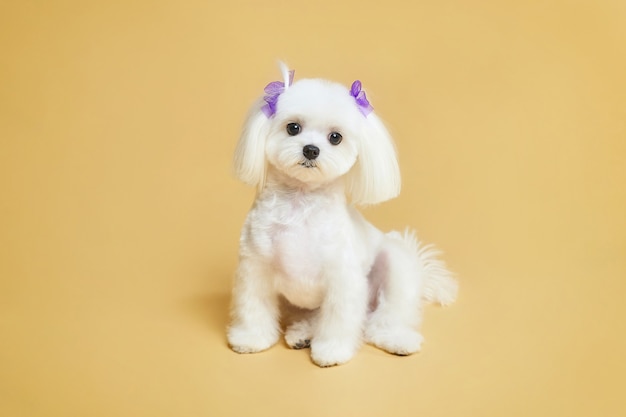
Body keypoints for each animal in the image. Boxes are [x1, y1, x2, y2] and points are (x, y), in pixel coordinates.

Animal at [224, 63, 454, 366]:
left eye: (336, 137)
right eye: (293, 127)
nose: (311, 149)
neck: (300, 204)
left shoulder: (342, 279)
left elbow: (338, 319)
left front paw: (331, 351)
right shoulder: (255, 268)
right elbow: (253, 307)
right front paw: (252, 338)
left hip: (395, 265)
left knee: (385, 317)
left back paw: (396, 338)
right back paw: (302, 334)